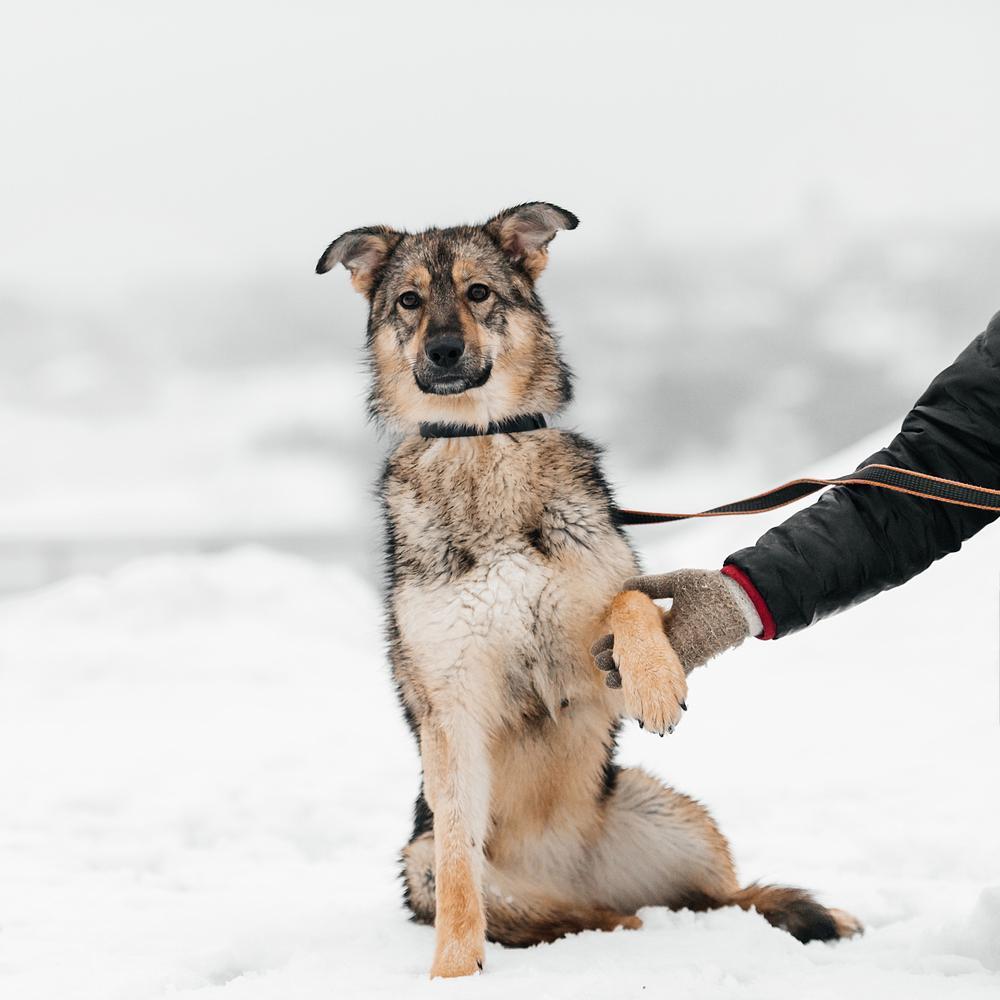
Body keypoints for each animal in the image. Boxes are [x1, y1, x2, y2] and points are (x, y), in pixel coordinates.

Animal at [318, 203, 860, 976]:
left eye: (479, 292)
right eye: (410, 302)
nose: (445, 352)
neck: (482, 443)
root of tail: (572, 875)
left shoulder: (590, 675)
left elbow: (630, 599)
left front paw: (658, 680)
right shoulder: (451, 707)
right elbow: (459, 875)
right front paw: (451, 973)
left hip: (669, 813)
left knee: (726, 896)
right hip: (425, 859)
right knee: (560, 911)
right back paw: (602, 924)